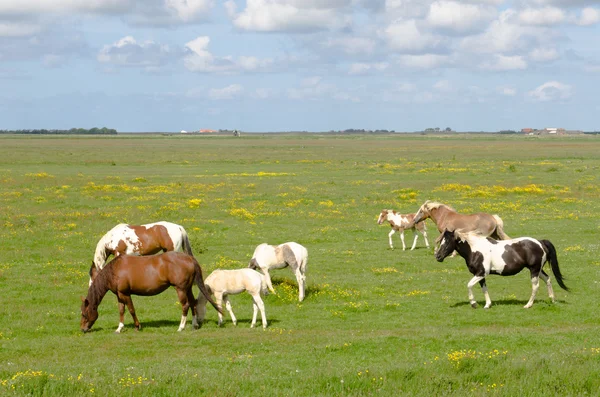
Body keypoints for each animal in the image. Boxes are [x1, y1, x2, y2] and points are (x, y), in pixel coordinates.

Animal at [79, 251, 220, 332]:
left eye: (84, 314)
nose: (83, 329)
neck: (114, 270)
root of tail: (189, 258)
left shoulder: (125, 294)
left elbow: (131, 309)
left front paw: (137, 326)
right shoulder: (119, 295)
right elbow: (121, 310)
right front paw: (119, 328)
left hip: (180, 289)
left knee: (185, 305)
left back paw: (181, 327)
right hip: (187, 288)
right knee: (192, 303)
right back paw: (194, 325)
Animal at [436, 229, 568, 310]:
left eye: (447, 241)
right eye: (441, 240)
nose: (437, 256)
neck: (475, 250)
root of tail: (540, 242)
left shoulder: (481, 273)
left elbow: (469, 285)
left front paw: (473, 304)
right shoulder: (480, 275)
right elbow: (484, 288)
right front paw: (487, 305)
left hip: (534, 270)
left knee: (535, 286)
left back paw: (528, 305)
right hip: (538, 270)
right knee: (548, 279)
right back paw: (552, 299)